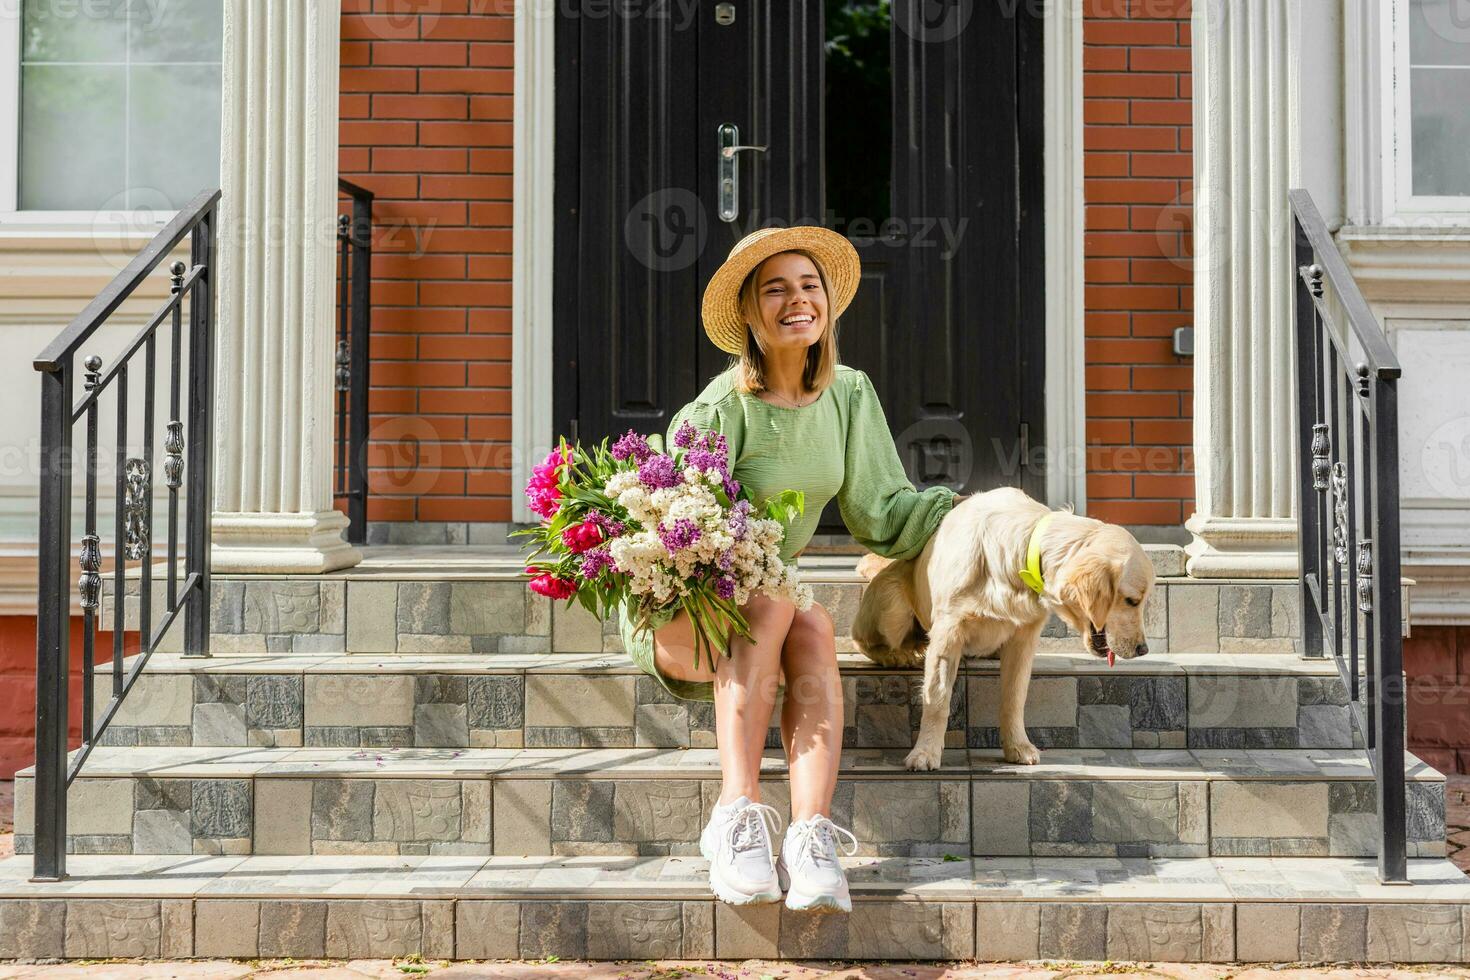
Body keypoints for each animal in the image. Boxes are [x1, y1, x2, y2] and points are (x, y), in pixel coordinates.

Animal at [858, 487, 1152, 769]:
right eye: (1132, 601)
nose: (1143, 649)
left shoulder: (1024, 637)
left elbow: (1014, 697)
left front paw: (1017, 746)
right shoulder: (947, 632)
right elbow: (937, 698)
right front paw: (925, 752)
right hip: (892, 605)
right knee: (864, 640)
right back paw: (896, 655)